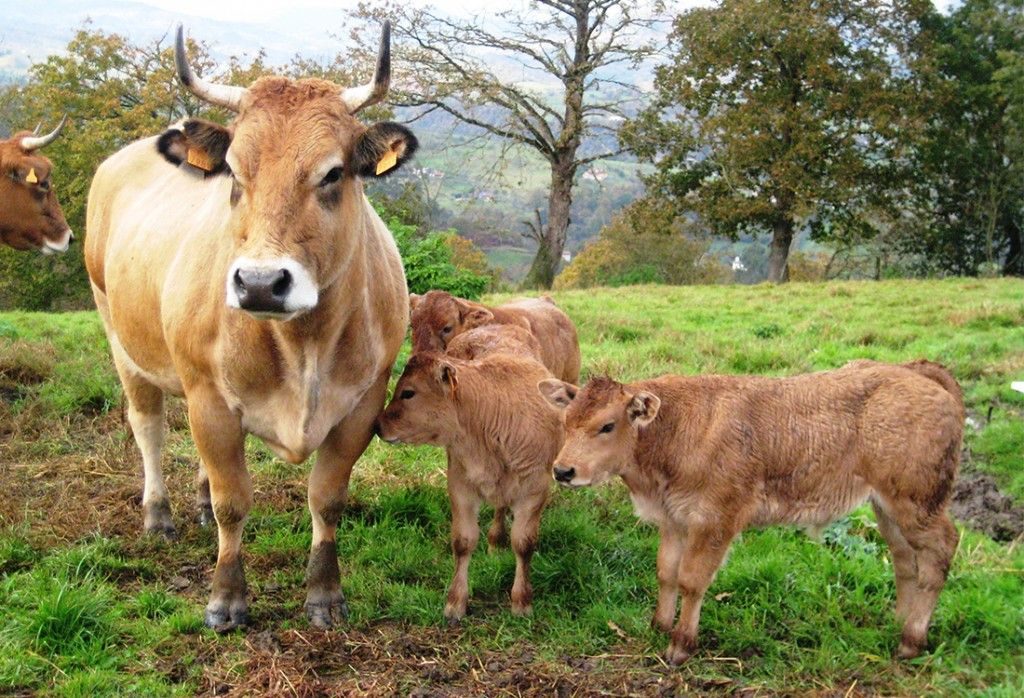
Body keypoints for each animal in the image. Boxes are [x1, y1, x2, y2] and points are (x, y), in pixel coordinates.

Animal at [82, 24, 411, 626]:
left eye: (333, 172)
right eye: (234, 172)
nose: (260, 283)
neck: (304, 344)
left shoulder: (363, 403)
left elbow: (327, 497)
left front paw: (325, 593)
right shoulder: (210, 399)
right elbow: (234, 502)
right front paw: (226, 598)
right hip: (119, 336)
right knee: (149, 426)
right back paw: (158, 514)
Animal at [380, 354, 565, 618]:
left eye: (408, 392)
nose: (377, 426)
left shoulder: (534, 491)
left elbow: (523, 543)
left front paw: (522, 602)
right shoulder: (460, 487)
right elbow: (463, 541)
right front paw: (455, 602)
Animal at [540, 362, 962, 659]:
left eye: (607, 425)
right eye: (566, 420)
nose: (563, 471)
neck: (678, 429)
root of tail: (916, 371)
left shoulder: (715, 521)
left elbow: (692, 580)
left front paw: (681, 644)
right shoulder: (674, 519)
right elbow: (666, 573)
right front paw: (659, 626)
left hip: (918, 504)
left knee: (940, 551)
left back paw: (912, 639)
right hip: (887, 507)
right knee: (906, 560)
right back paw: (898, 623)